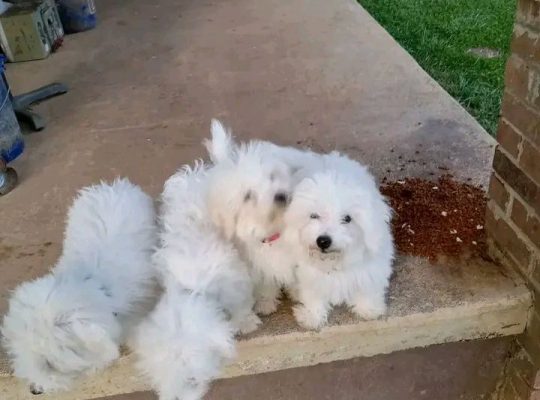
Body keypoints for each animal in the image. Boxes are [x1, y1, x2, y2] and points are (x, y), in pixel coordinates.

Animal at [133, 162, 260, 400]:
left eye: (192, 380)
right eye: (164, 382)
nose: (174, 398)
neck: (192, 289)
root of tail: (192, 177)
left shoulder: (234, 282)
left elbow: (241, 304)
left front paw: (245, 322)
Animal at [284, 152, 394, 330]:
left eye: (347, 219)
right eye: (314, 216)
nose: (323, 241)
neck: (334, 261)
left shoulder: (371, 268)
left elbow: (367, 286)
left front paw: (368, 308)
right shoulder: (310, 275)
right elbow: (312, 293)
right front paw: (312, 316)